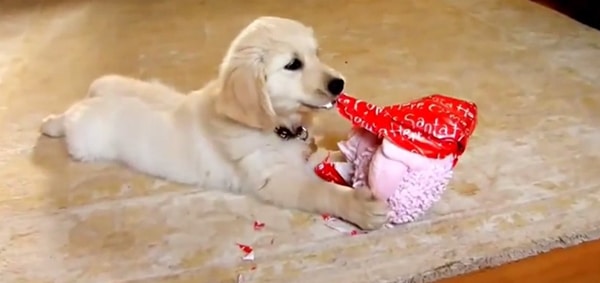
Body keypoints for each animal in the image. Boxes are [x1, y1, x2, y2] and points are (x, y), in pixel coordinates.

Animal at [41, 16, 390, 231]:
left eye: (316, 54)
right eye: (293, 65)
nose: (339, 84)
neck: (276, 128)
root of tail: (96, 97)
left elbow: (329, 158)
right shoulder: (273, 179)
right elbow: (316, 190)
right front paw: (358, 205)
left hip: (115, 85)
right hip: (87, 137)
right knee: (70, 121)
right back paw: (50, 123)